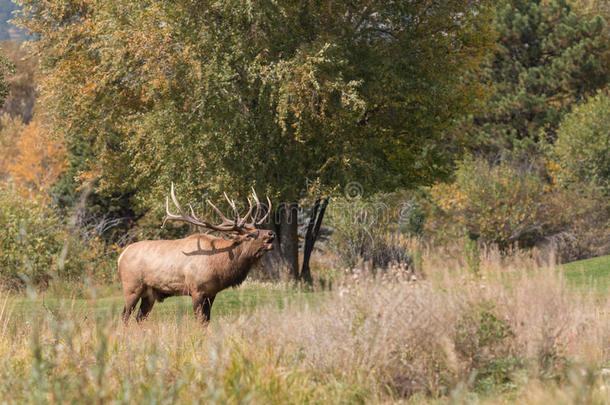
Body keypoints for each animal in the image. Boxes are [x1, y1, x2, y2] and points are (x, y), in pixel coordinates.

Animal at [117, 185, 274, 324]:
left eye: (258, 228)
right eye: (248, 236)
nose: (271, 233)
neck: (219, 267)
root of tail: (120, 256)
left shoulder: (211, 293)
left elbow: (207, 321)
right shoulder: (196, 289)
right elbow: (200, 320)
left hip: (150, 293)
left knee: (140, 318)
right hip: (131, 287)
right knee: (125, 316)